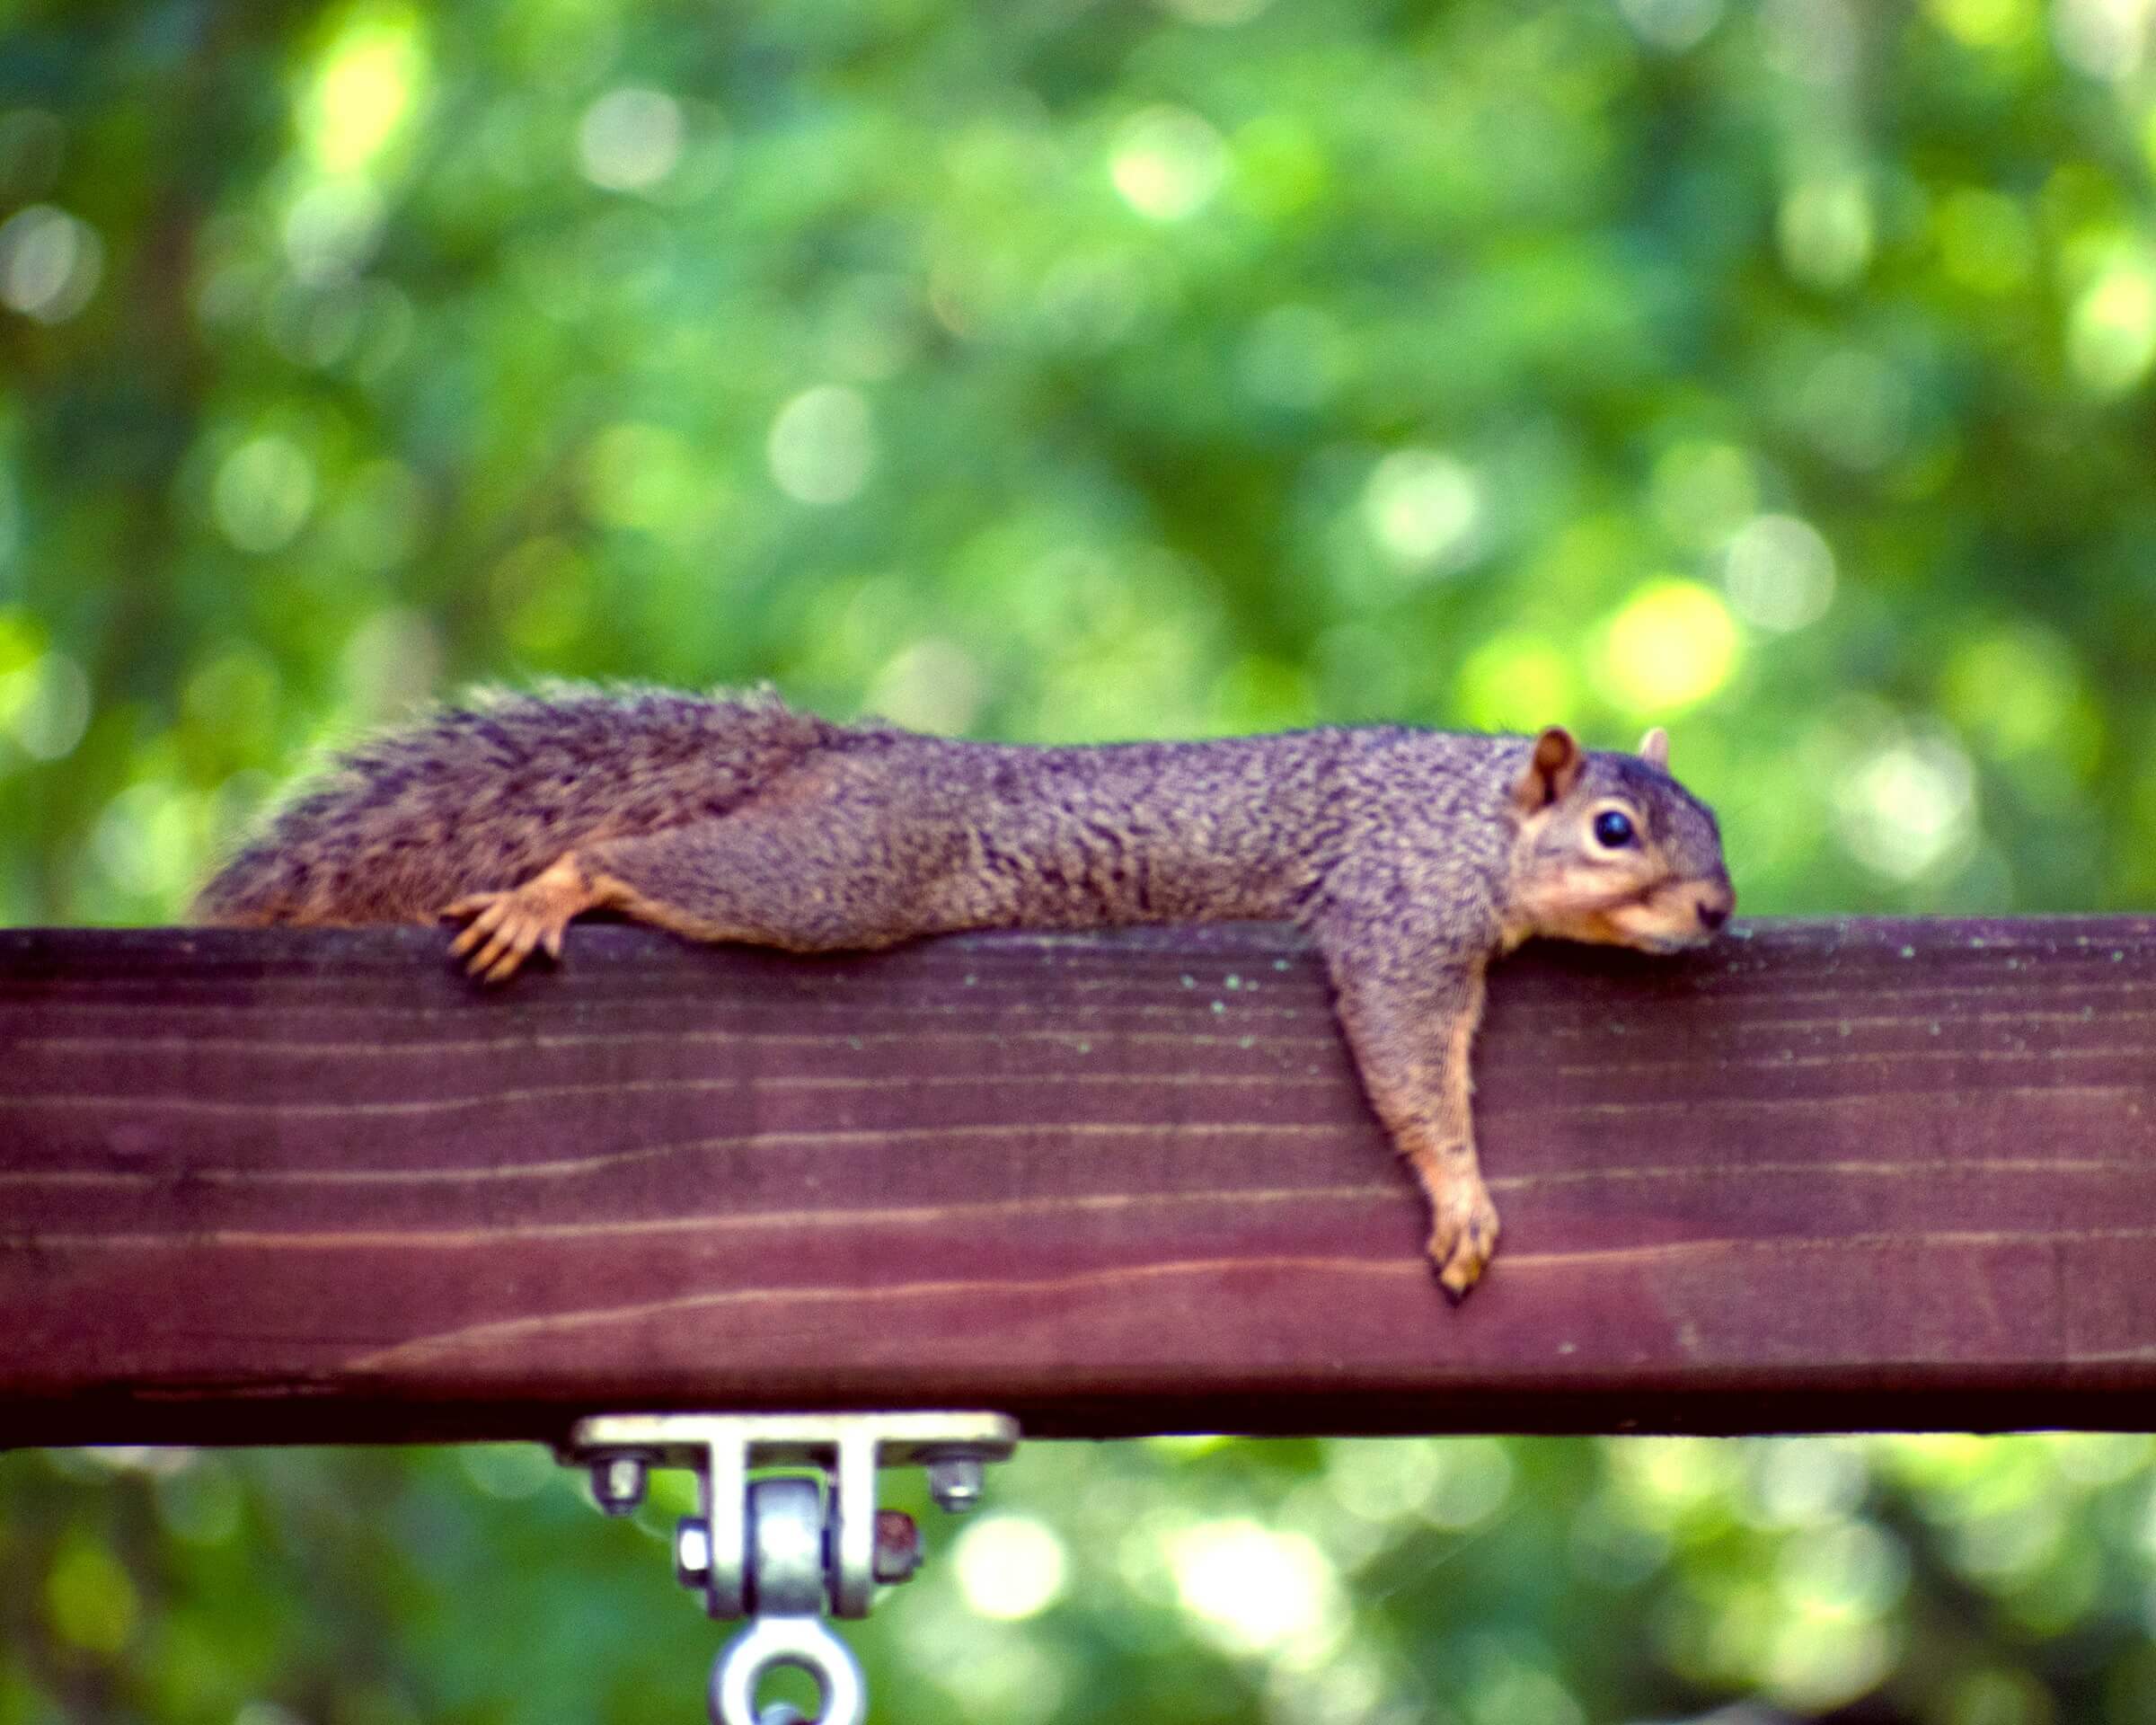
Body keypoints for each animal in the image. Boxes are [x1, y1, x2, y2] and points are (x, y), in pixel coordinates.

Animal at [190, 686, 1733, 1294]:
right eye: (1614, 829)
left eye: (1711, 820)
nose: (1718, 909)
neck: (1476, 819)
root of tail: (851, 747)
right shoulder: (1399, 917)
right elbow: (1410, 1058)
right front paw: (1460, 1191)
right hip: (842, 871)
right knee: (646, 865)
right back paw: (552, 886)